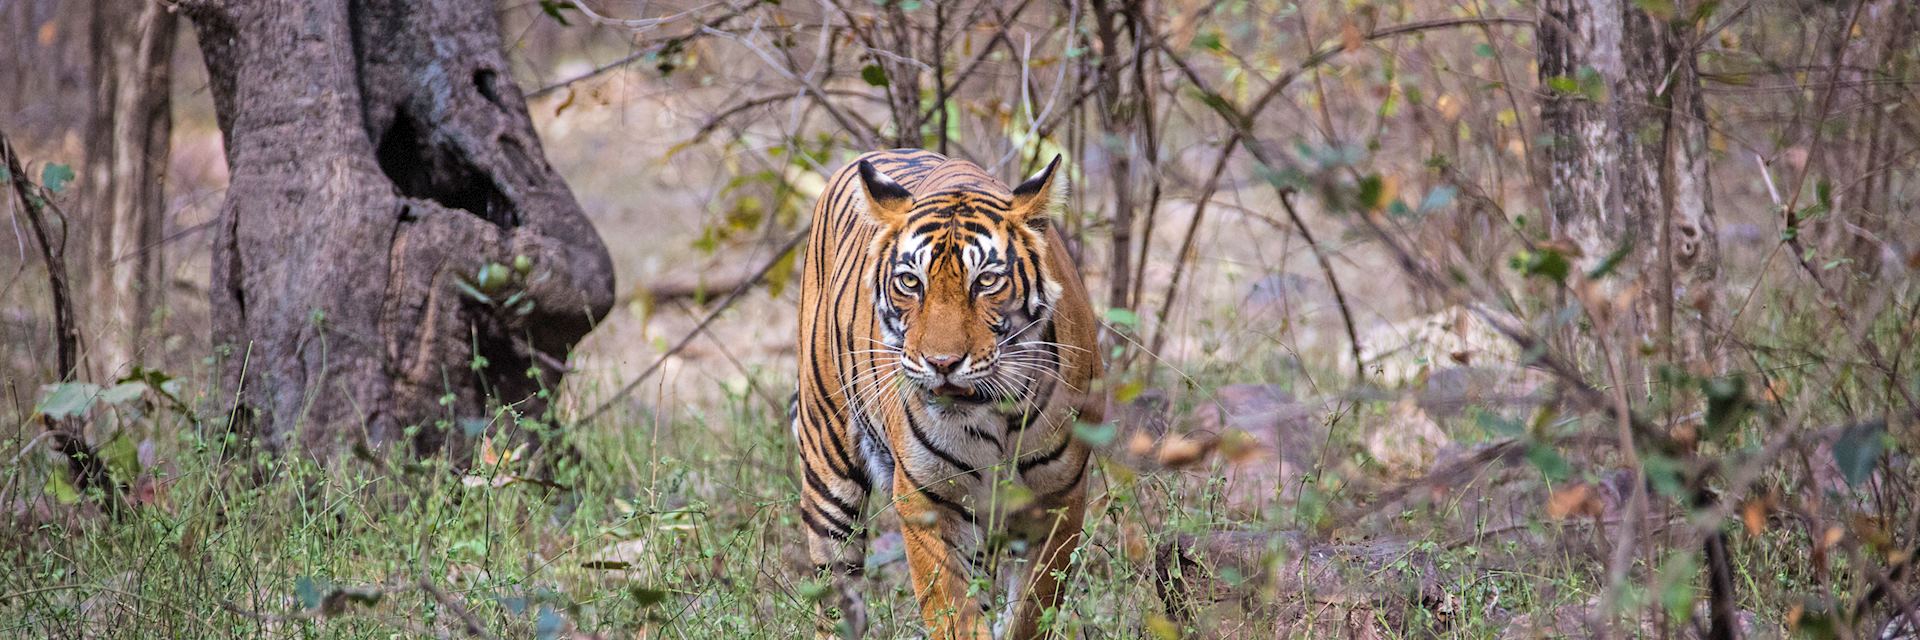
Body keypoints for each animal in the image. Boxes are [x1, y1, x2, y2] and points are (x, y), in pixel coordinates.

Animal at [791, 147, 1105, 634]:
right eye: (910, 282)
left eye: (987, 281)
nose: (941, 363)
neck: (996, 415)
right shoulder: (928, 502)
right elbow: (954, 612)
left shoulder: (1058, 501)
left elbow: (1029, 612)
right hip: (828, 468)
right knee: (836, 594)